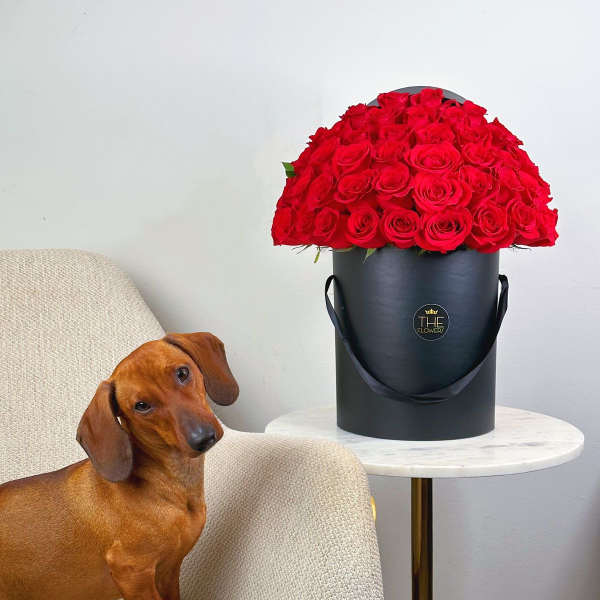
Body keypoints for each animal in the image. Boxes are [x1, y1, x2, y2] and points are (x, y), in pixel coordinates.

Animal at [0, 332, 239, 600]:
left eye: (182, 373)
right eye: (141, 405)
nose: (202, 438)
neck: (166, 486)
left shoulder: (169, 571)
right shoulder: (133, 574)